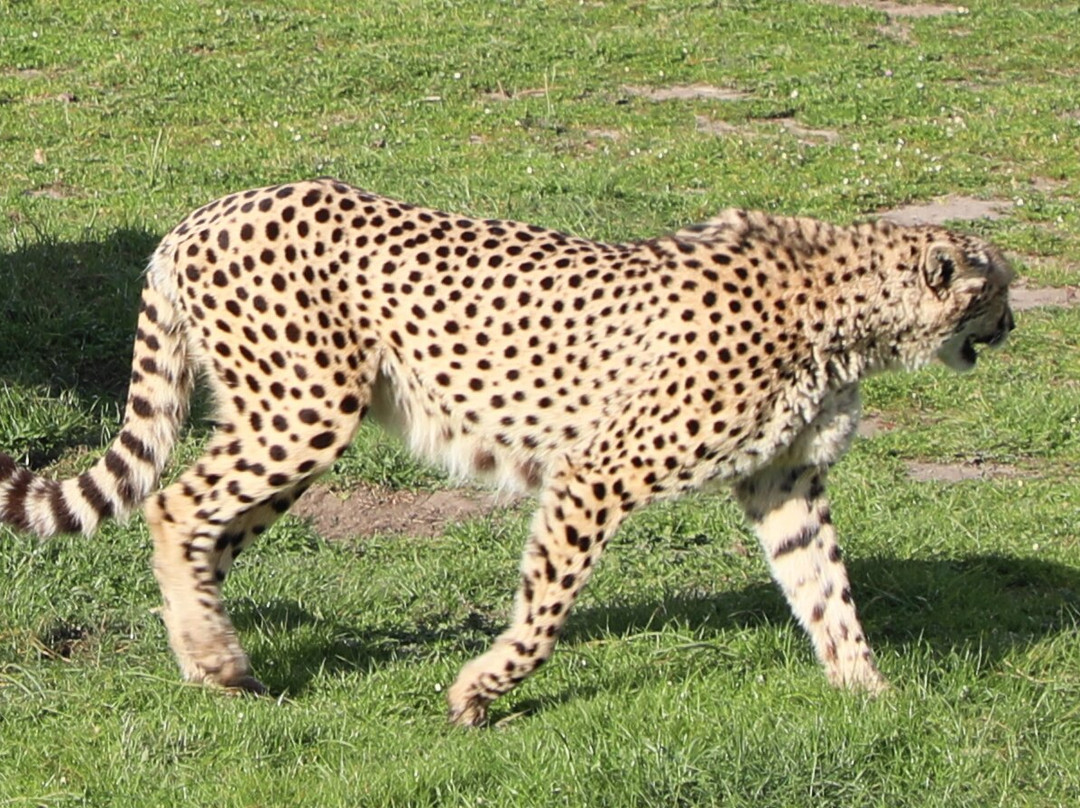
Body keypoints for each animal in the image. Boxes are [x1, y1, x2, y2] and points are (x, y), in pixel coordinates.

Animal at [0, 178, 1014, 726]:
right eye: (996, 285)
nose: (1010, 325)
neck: (846, 307)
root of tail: (203, 214)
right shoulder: (595, 474)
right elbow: (546, 609)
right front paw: (480, 693)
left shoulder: (784, 482)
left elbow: (827, 593)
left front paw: (873, 696)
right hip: (302, 412)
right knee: (173, 506)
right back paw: (214, 659)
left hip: (288, 423)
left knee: (204, 528)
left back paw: (214, 660)